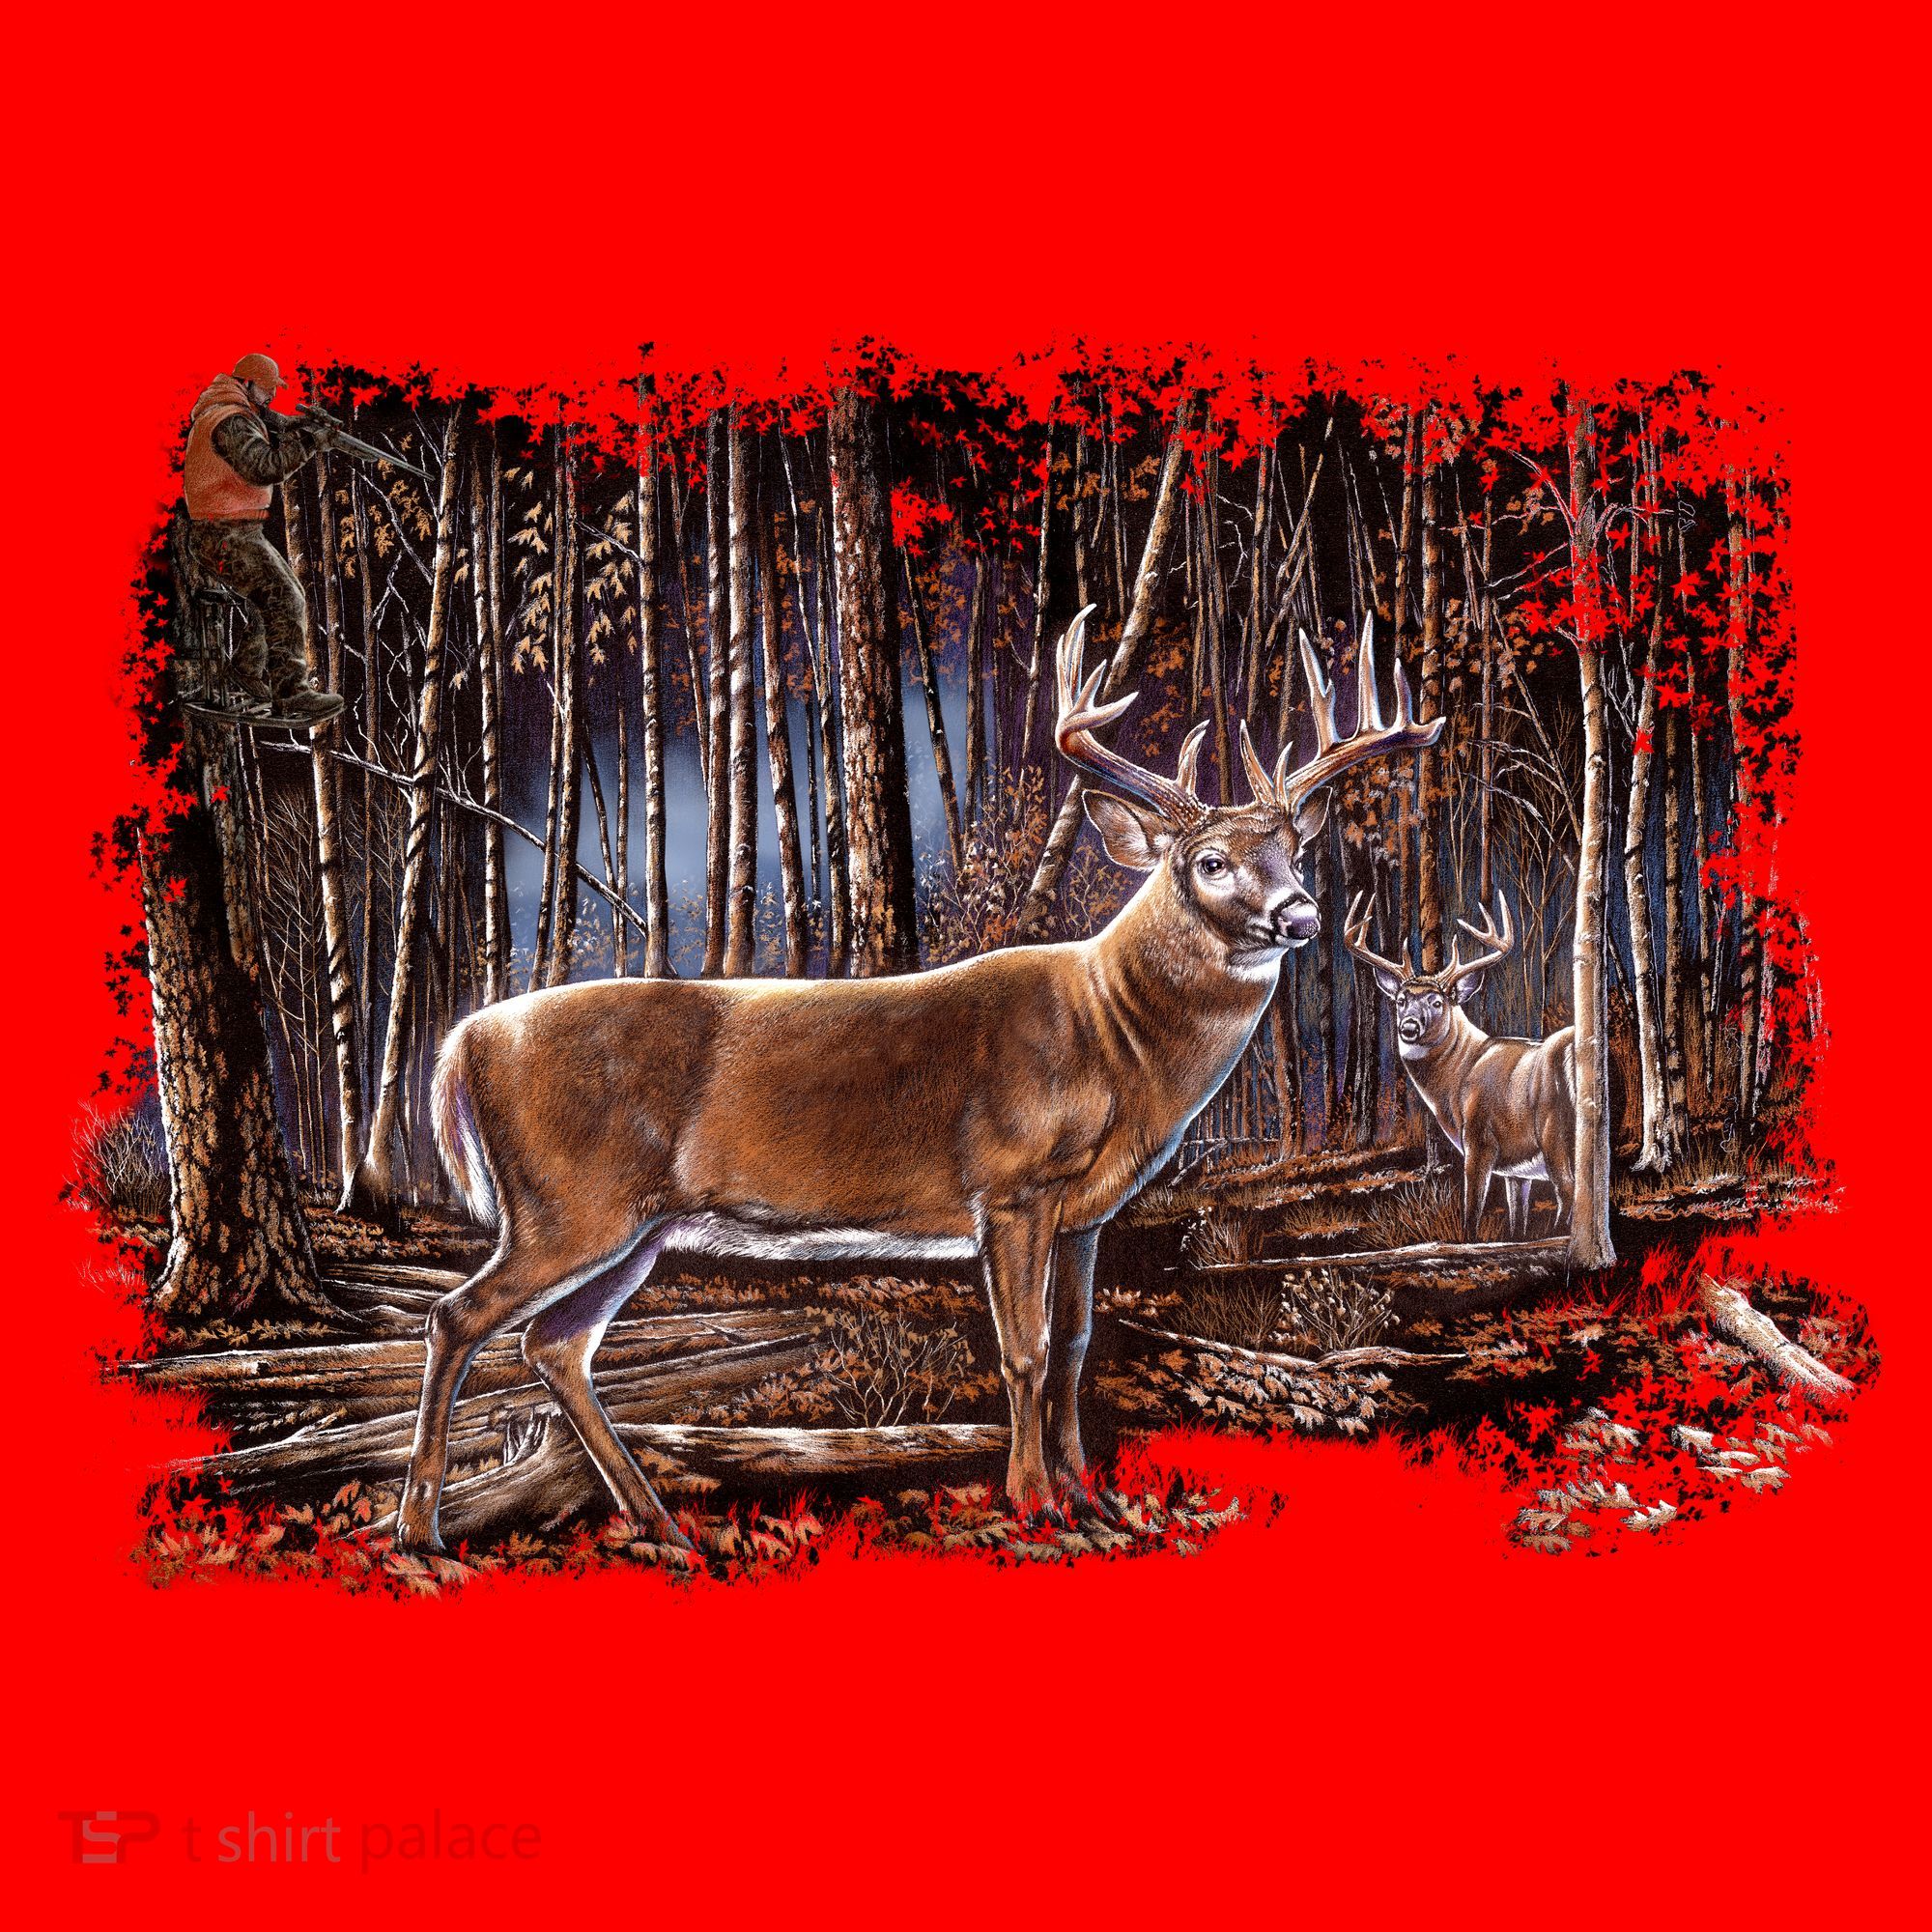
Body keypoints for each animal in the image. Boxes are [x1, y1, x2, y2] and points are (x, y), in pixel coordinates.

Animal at [394, 608, 1441, 1556]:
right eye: (1211, 861)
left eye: (1294, 851)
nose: (1300, 913)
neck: (1117, 1043)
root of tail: (462, 1040)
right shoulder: (1011, 1186)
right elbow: (1022, 1349)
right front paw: (1035, 1501)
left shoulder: (1089, 1212)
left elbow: (1073, 1348)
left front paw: (1093, 1495)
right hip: (568, 1201)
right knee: (458, 1317)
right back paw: (420, 1526)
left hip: (632, 1226)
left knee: (554, 1345)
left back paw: (655, 1520)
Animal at [1342, 893, 1576, 1241]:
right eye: (1400, 1000)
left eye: (1437, 1002)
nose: (1408, 1027)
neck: (1458, 1079)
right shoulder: (1516, 1169)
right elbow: (1516, 1221)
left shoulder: (1480, 1138)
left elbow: (1472, 1212)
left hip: (1553, 1130)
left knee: (1569, 1190)